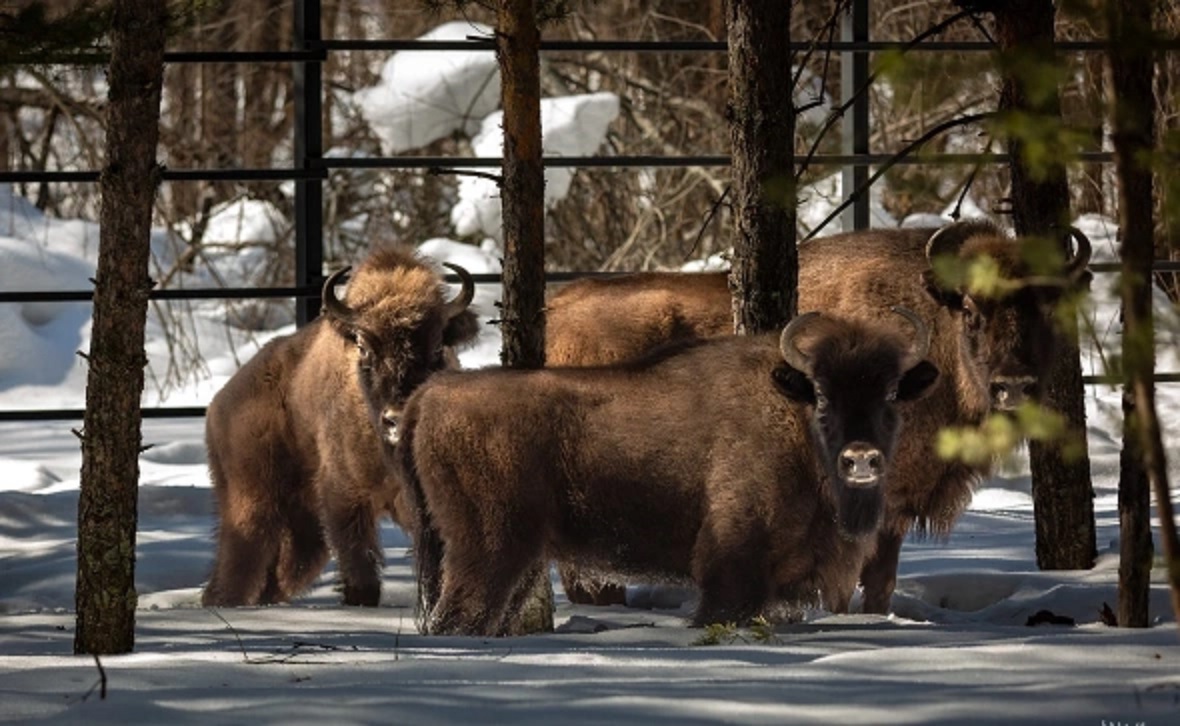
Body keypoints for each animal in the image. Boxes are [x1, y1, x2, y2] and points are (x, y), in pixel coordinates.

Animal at [200, 246, 476, 609]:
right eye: (364, 348)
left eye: (437, 347)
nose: (397, 416)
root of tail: (218, 405)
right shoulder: (344, 500)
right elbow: (361, 571)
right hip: (252, 502)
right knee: (237, 566)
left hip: (304, 528)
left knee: (281, 574)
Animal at [396, 309, 939, 637]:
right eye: (823, 394)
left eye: (892, 393)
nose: (861, 458)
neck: (792, 413)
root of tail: (431, 394)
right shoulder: (733, 567)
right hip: (488, 548)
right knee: (460, 616)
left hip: (514, 556)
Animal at [547, 219, 1090, 613]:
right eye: (973, 311)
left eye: (1045, 307)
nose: (1013, 386)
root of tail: (558, 311)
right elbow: (849, 579)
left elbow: (881, 580)